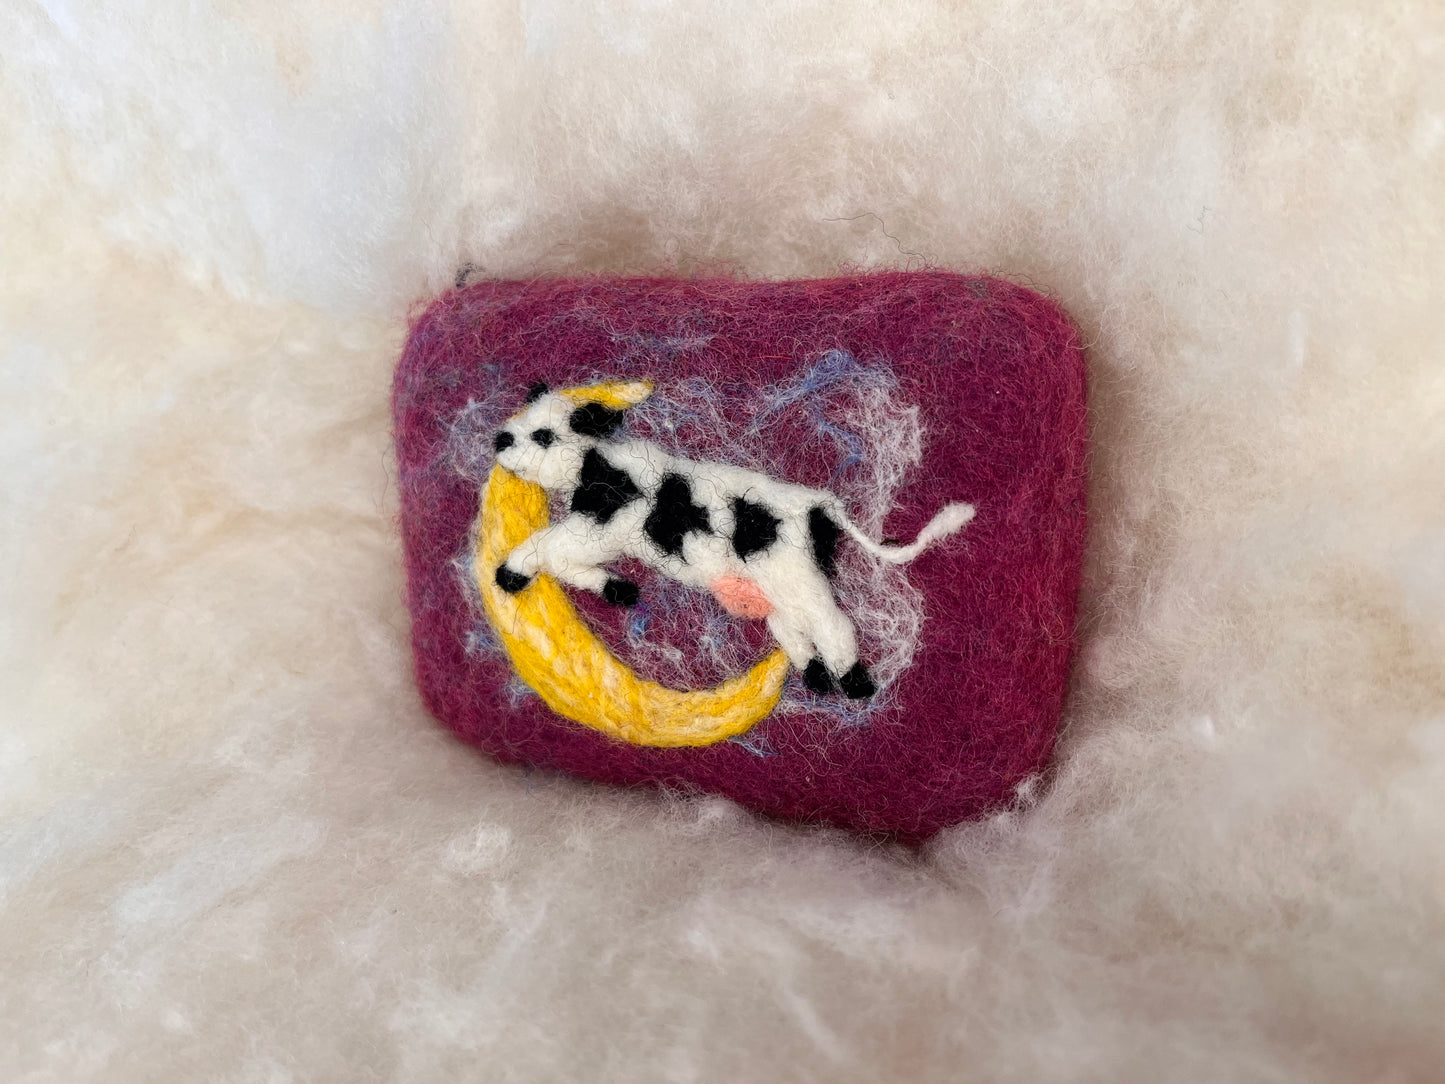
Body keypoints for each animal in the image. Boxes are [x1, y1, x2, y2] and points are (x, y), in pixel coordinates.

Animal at [489, 380, 974, 698]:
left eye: (544, 435)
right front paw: (616, 588)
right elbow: (563, 560)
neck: (597, 464)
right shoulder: (600, 535)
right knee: (791, 628)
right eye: (518, 421)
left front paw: (509, 574)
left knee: (833, 625)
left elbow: (546, 546)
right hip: (780, 588)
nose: (500, 438)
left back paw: (855, 684)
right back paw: (817, 679)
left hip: (797, 579)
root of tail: (820, 506)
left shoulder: (601, 525)